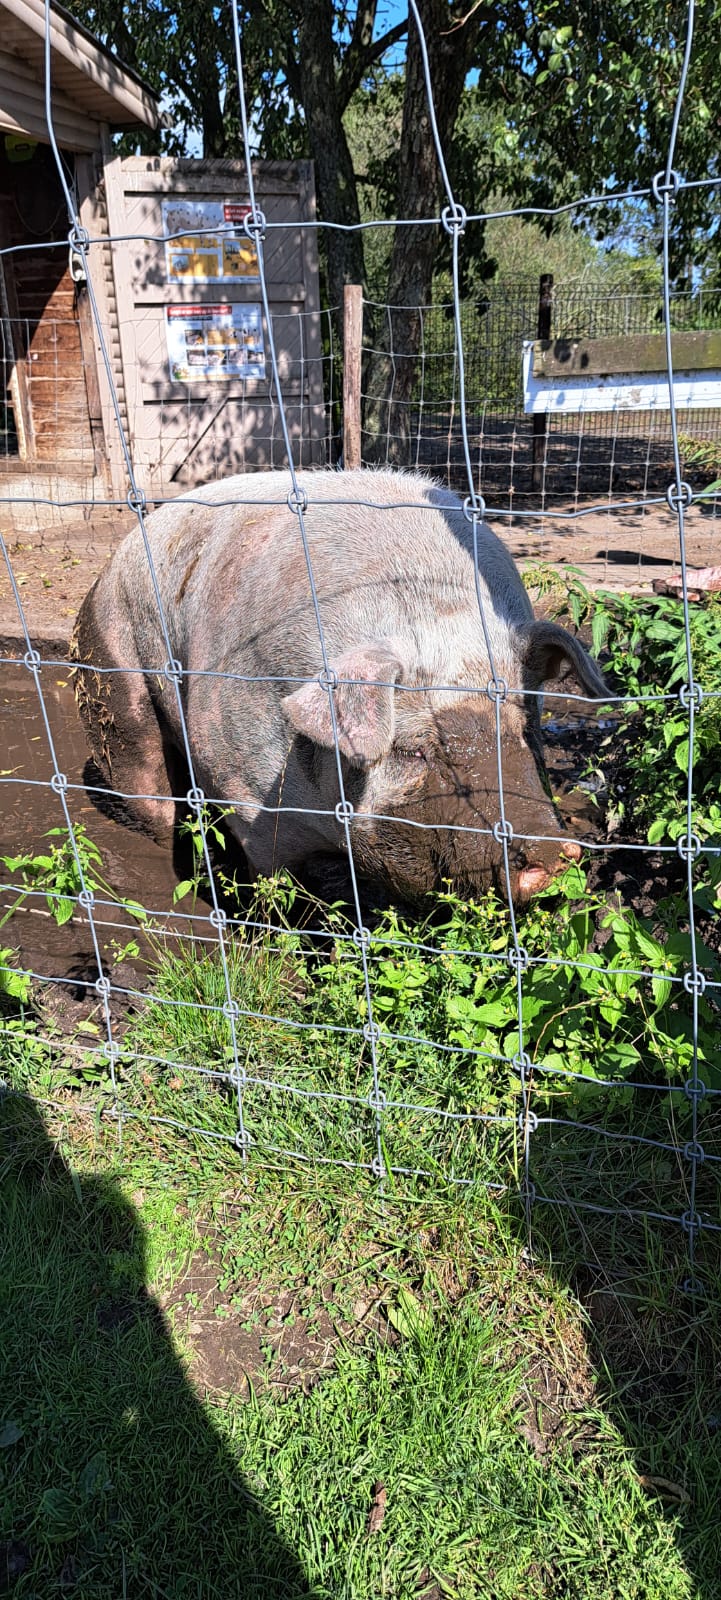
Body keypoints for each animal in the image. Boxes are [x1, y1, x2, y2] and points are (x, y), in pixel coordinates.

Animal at [71, 467, 604, 908]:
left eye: (524, 731)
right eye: (414, 750)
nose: (556, 849)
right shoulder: (238, 780)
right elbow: (278, 888)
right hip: (112, 667)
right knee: (147, 785)